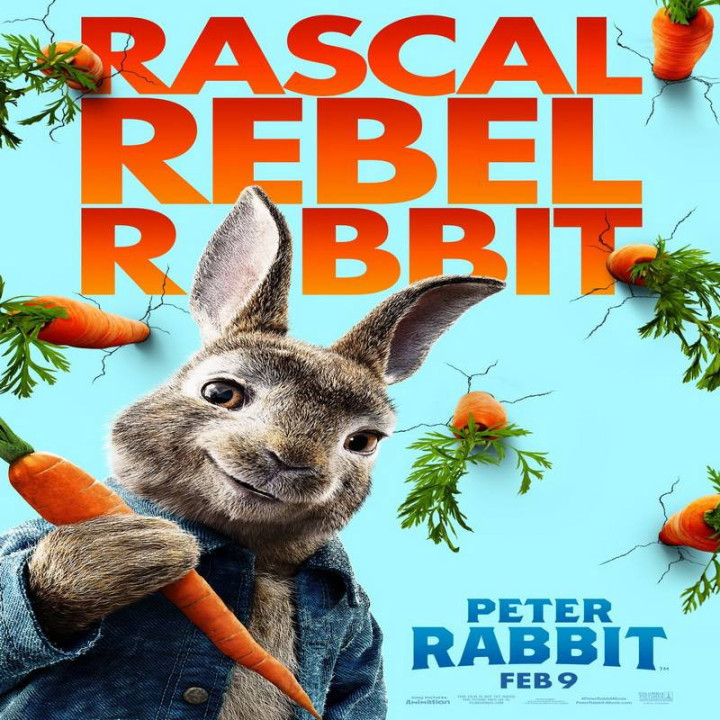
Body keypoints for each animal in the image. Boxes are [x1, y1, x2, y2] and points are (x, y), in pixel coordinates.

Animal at [9, 186, 504, 720]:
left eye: (363, 441)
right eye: (220, 393)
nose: (290, 460)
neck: (258, 558)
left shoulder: (361, 639)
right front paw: (133, 553)